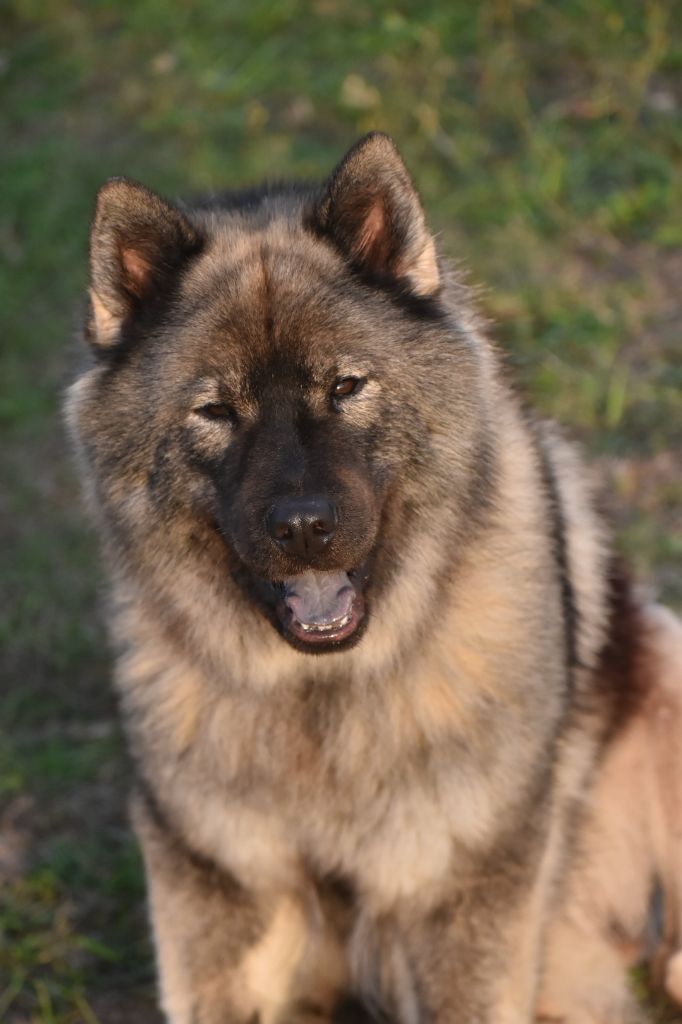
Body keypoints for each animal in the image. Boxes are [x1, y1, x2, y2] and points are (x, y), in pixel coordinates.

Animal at [66, 136, 675, 1024]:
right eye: (216, 412)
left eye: (346, 386)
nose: (302, 526)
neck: (324, 699)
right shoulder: (217, 891)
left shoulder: (465, 897)